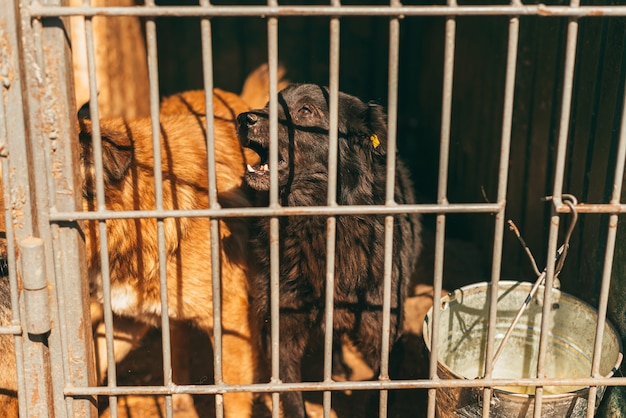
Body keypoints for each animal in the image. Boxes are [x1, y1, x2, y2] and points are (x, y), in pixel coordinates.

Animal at [236, 83, 422, 416]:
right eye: (268, 104)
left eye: (306, 110)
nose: (244, 118)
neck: (317, 223)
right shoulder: (281, 326)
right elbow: (291, 395)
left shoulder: (383, 332)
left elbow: (380, 390)